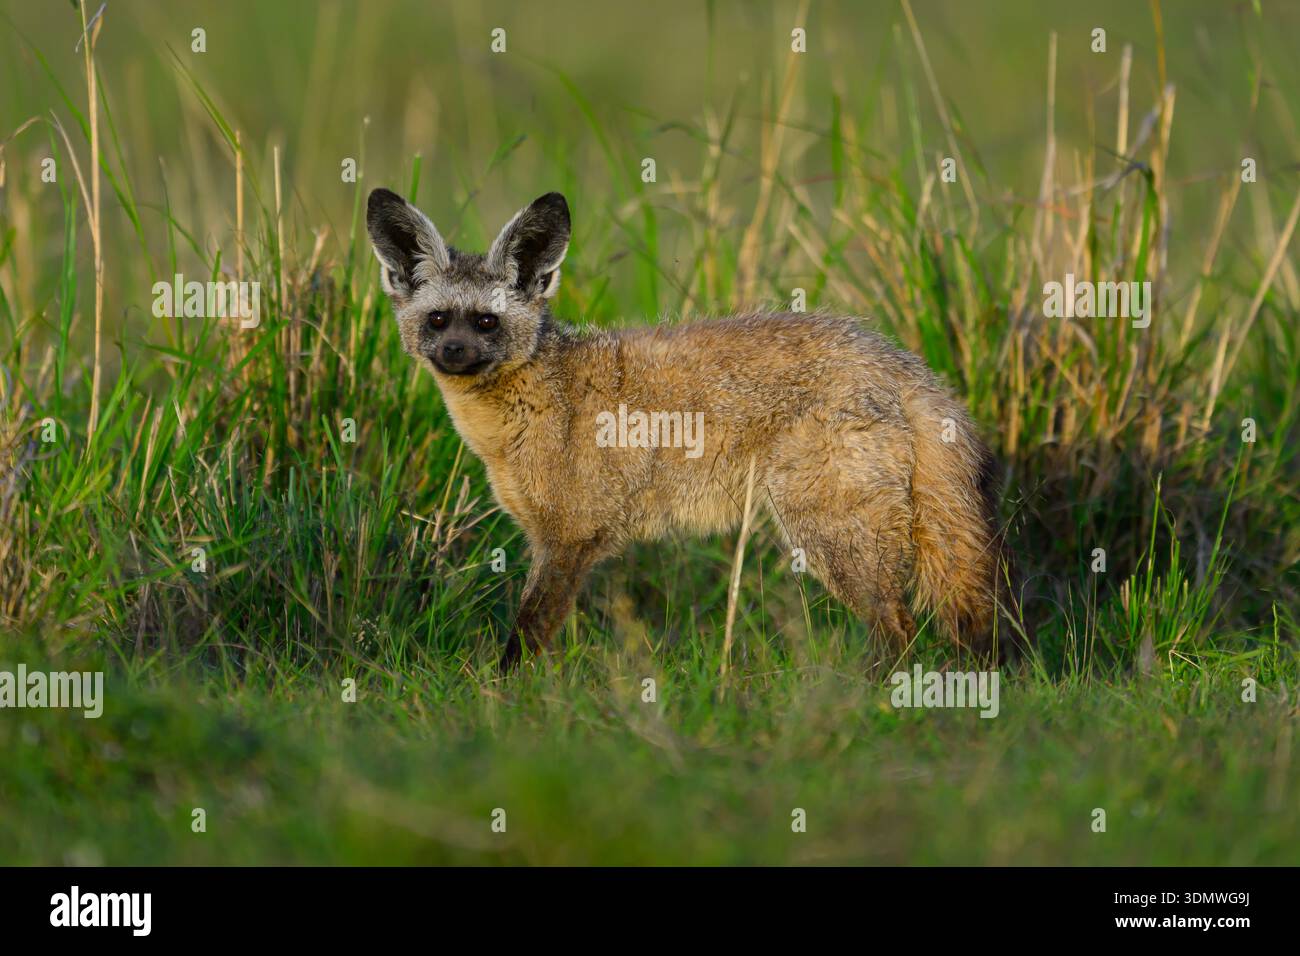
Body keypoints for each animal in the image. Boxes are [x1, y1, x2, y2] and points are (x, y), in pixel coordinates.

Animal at [367, 187, 1020, 670]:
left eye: (485, 322)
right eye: (438, 320)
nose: (453, 353)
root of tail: (897, 359)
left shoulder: (567, 539)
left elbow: (525, 635)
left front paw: (502, 700)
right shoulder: (551, 538)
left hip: (830, 536)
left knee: (899, 629)